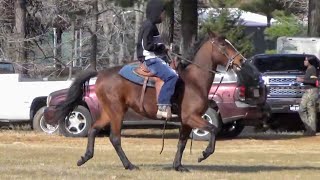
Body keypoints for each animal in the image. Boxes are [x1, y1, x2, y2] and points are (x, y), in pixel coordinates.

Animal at [49, 31, 248, 172]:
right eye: (223, 45)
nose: (242, 60)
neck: (194, 81)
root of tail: (101, 73)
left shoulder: (187, 120)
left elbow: (182, 142)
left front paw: (178, 166)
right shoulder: (191, 117)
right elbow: (213, 129)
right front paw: (204, 154)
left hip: (107, 112)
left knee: (93, 130)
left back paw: (85, 157)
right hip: (117, 112)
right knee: (115, 138)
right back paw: (129, 165)